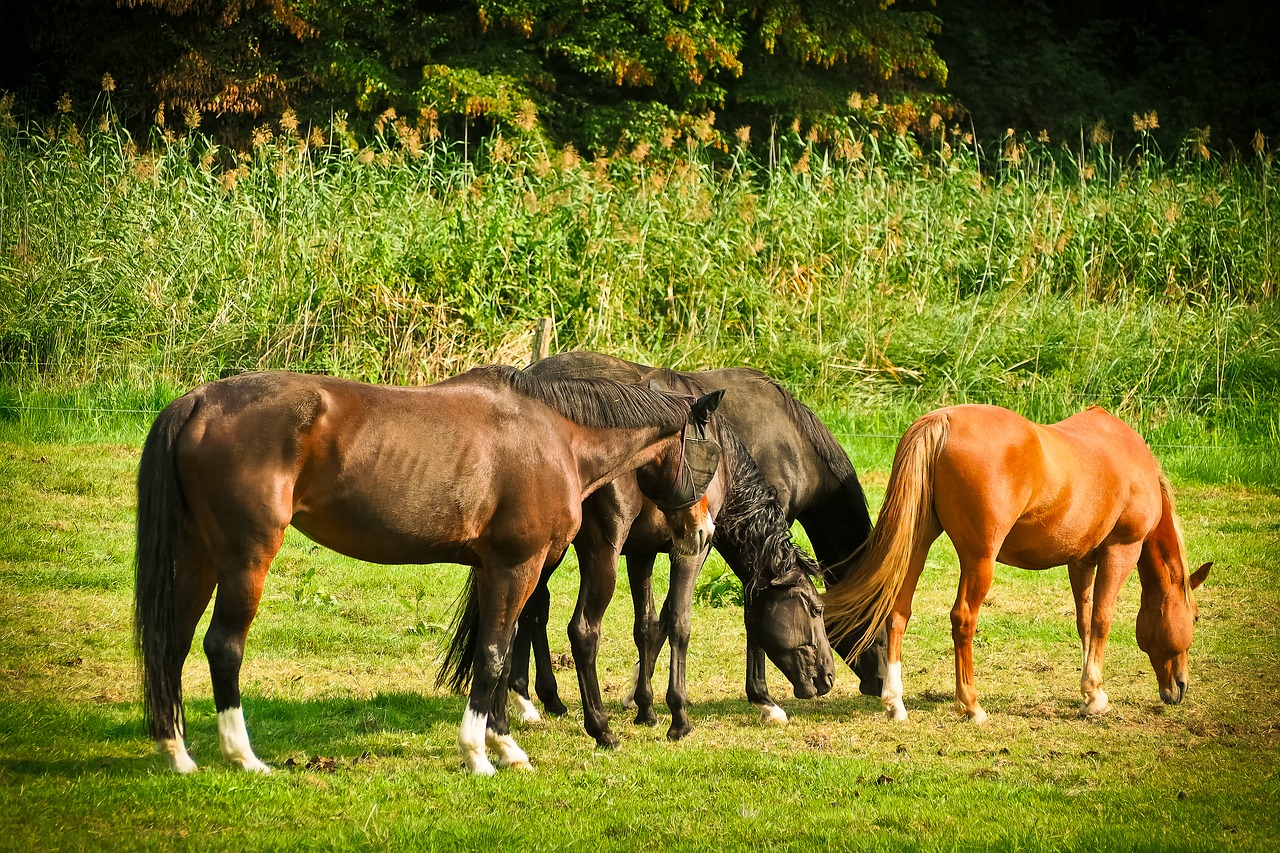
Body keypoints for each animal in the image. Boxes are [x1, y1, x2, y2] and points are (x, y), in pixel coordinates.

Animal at [137, 361, 732, 773]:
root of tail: (197, 402)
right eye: (710, 455)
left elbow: (500, 652)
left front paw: (504, 743)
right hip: (245, 559)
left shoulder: (499, 570)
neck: (554, 436)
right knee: (222, 646)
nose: (702, 534)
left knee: (173, 641)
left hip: (198, 555)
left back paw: (178, 753)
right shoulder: (518, 566)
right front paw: (480, 753)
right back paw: (244, 757)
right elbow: (493, 655)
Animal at [494, 348, 885, 732]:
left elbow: (651, 623)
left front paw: (643, 702)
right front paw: (760, 700)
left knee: (531, 606)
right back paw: (531, 700)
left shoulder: (649, 549)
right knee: (544, 612)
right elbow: (709, 617)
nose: (878, 682)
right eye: (816, 610)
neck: (787, 441)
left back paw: (537, 699)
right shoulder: (705, 544)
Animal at [819, 402, 1208, 722]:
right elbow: (1101, 619)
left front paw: (1087, 694)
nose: (1180, 687)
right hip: (979, 560)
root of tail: (942, 420)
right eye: (1195, 617)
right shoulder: (1120, 551)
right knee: (963, 618)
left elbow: (1084, 622)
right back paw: (971, 706)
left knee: (898, 612)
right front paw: (1096, 697)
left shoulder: (1080, 562)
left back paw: (895, 703)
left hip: (917, 546)